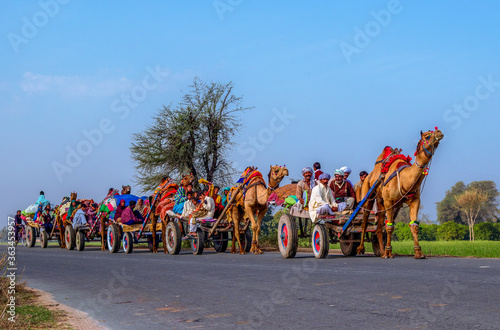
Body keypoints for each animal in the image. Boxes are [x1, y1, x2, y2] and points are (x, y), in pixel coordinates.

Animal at [356, 129, 446, 258]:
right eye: (427, 136)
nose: (439, 132)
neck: (404, 179)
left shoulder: (415, 201)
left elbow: (414, 226)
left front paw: (419, 252)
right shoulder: (389, 201)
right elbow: (389, 227)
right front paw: (389, 252)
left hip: (381, 201)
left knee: (379, 227)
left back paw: (381, 252)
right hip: (368, 193)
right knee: (364, 220)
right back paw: (361, 248)